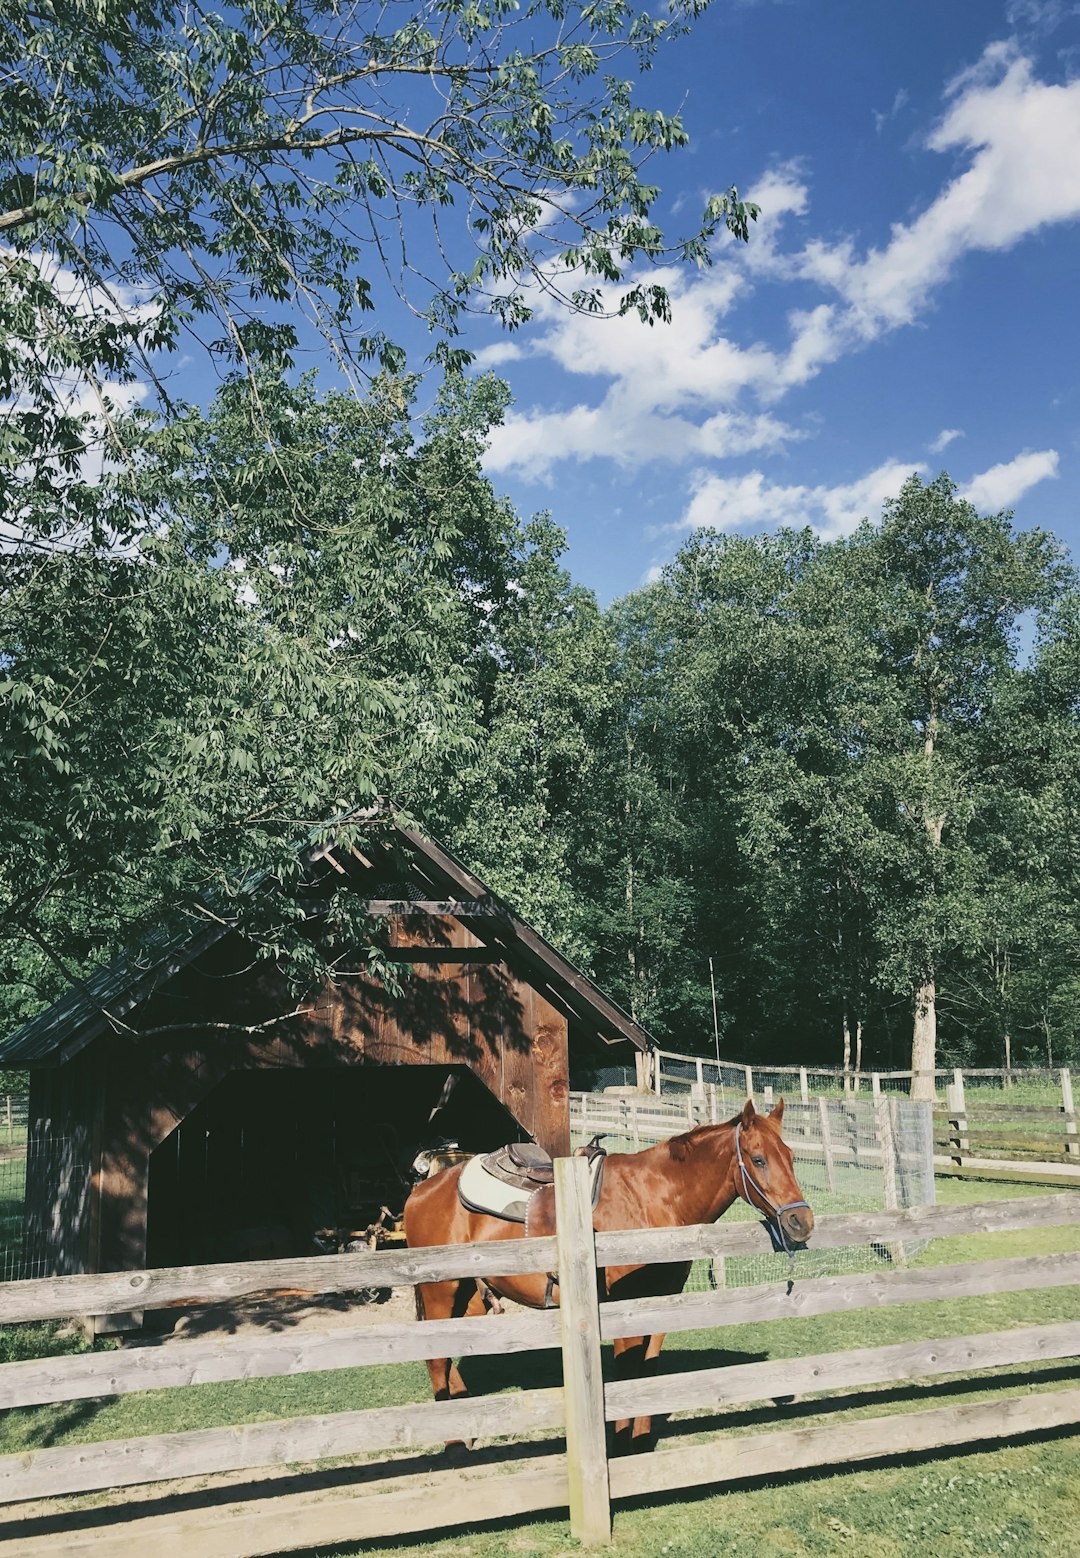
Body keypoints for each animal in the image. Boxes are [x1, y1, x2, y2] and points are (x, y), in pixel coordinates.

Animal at [402, 1096, 810, 1445]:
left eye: (791, 1156)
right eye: (758, 1159)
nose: (801, 1222)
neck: (653, 1199)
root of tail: (422, 1189)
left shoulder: (659, 1302)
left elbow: (646, 1369)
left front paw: (639, 1440)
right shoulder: (622, 1306)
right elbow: (626, 1372)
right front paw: (620, 1442)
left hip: (471, 1293)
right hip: (440, 1291)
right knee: (436, 1357)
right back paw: (454, 1444)